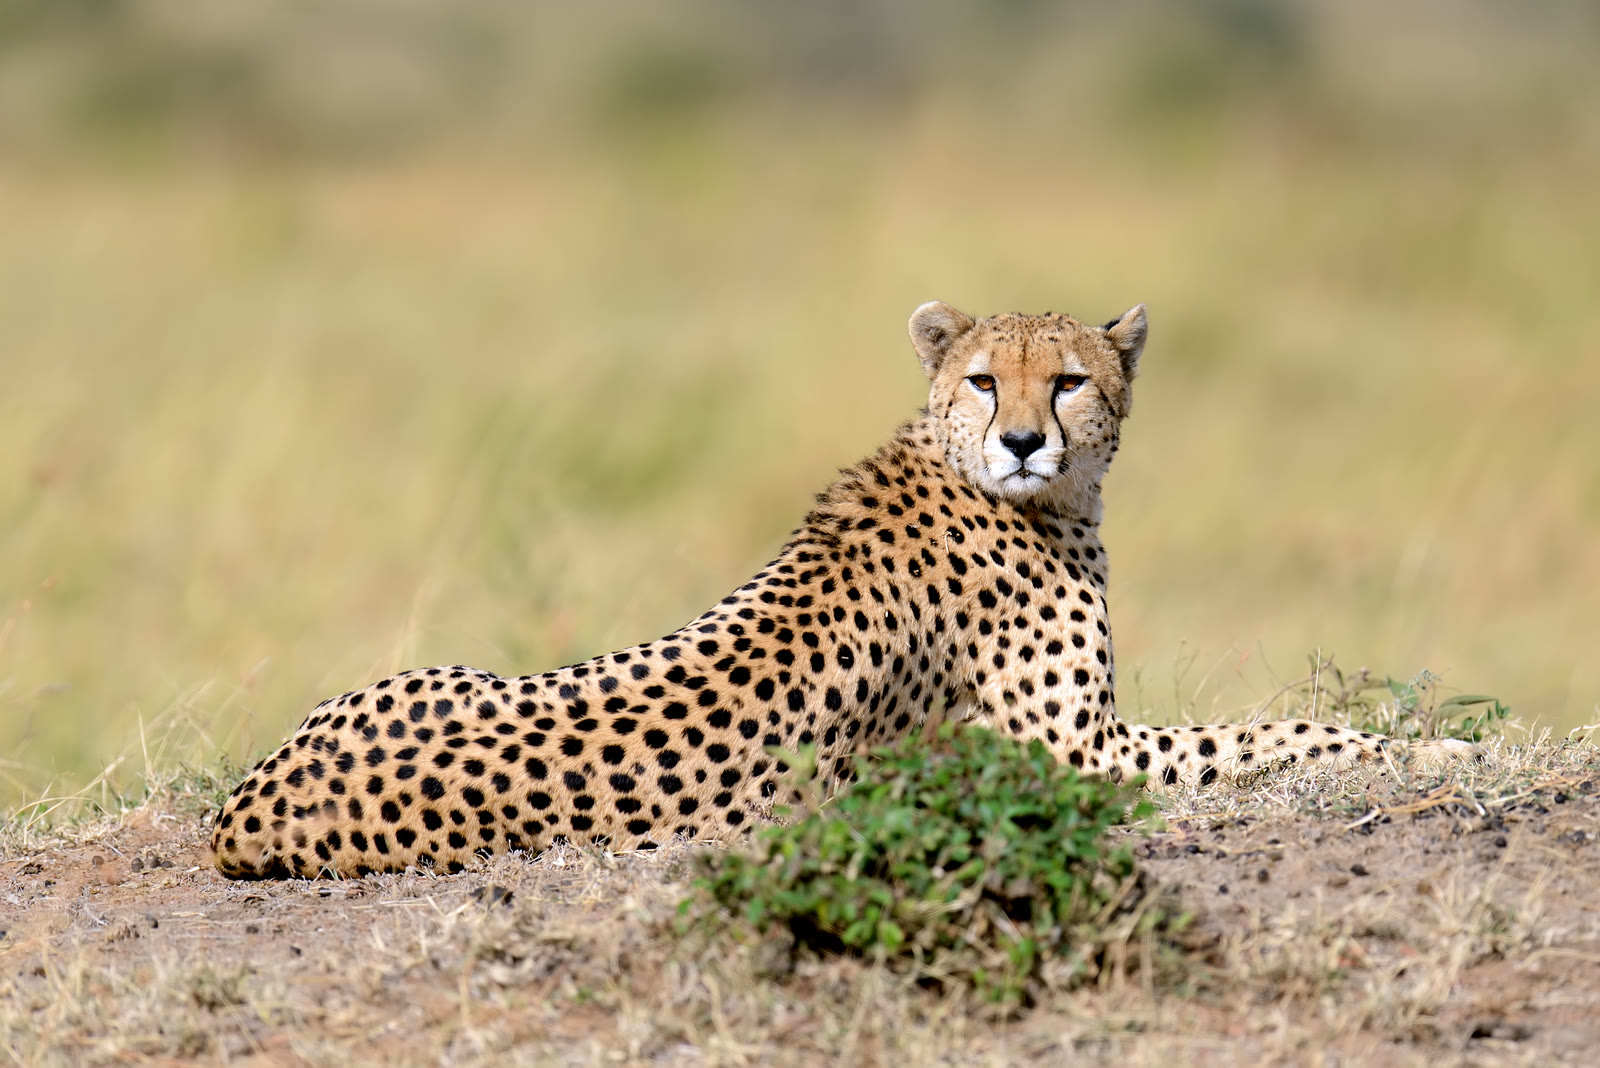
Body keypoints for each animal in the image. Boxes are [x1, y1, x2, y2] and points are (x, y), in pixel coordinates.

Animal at [211, 301, 1475, 878]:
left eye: (1068, 381)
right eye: (985, 380)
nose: (1024, 440)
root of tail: (238, 815)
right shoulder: (1080, 757)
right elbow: (1271, 731)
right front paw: (1425, 748)